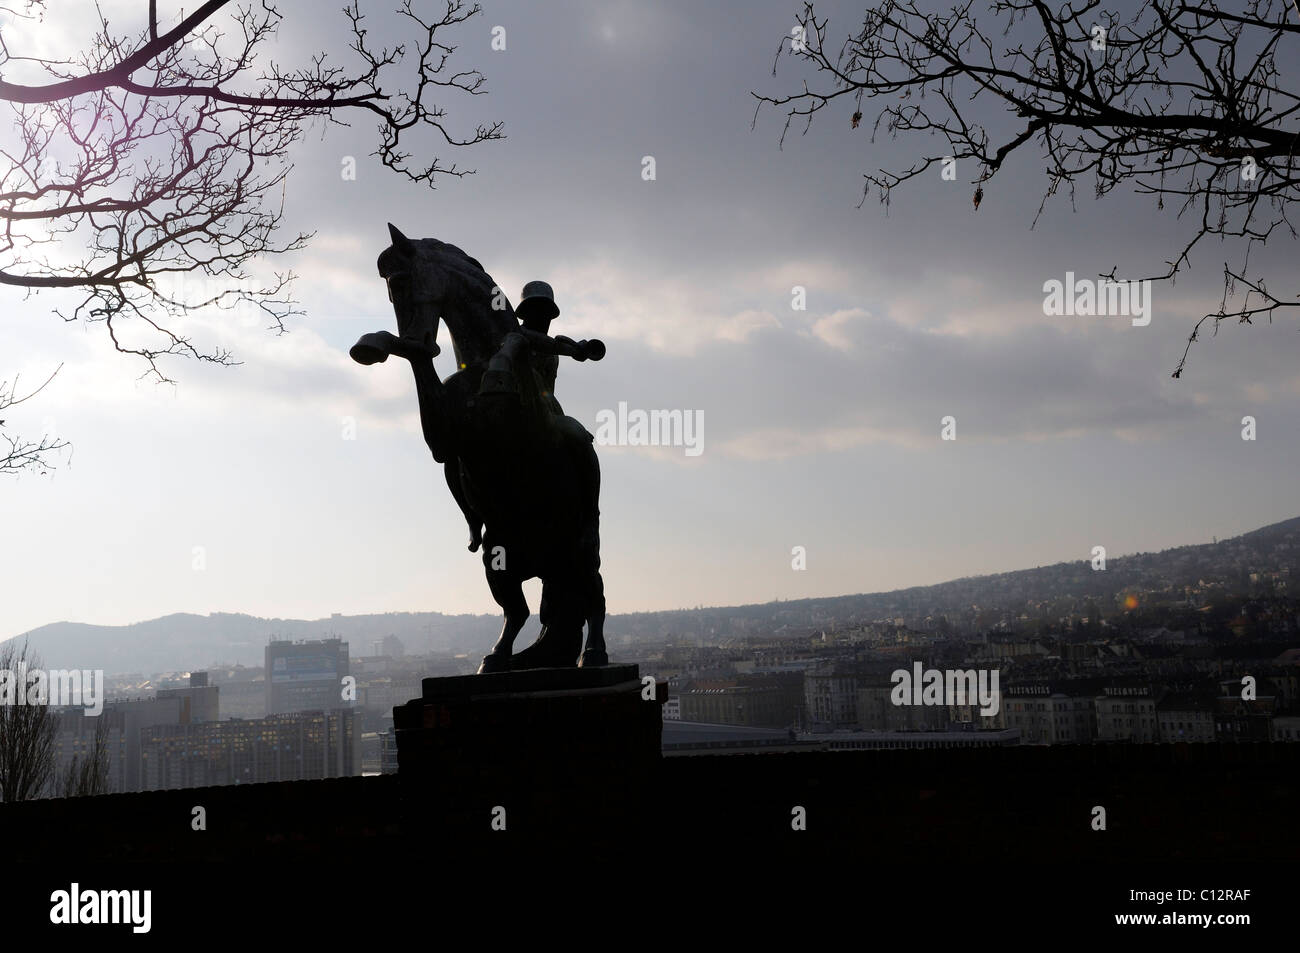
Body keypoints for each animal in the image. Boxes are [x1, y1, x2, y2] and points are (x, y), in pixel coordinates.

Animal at [353, 223, 611, 670]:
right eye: (388, 290)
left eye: (401, 281)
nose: (419, 336)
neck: (477, 365)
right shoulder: (444, 438)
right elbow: (420, 374)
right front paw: (374, 344)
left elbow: (517, 344)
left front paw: (503, 366)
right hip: (498, 554)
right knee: (519, 610)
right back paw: (499, 657)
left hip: (580, 546)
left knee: (593, 595)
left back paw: (593, 652)